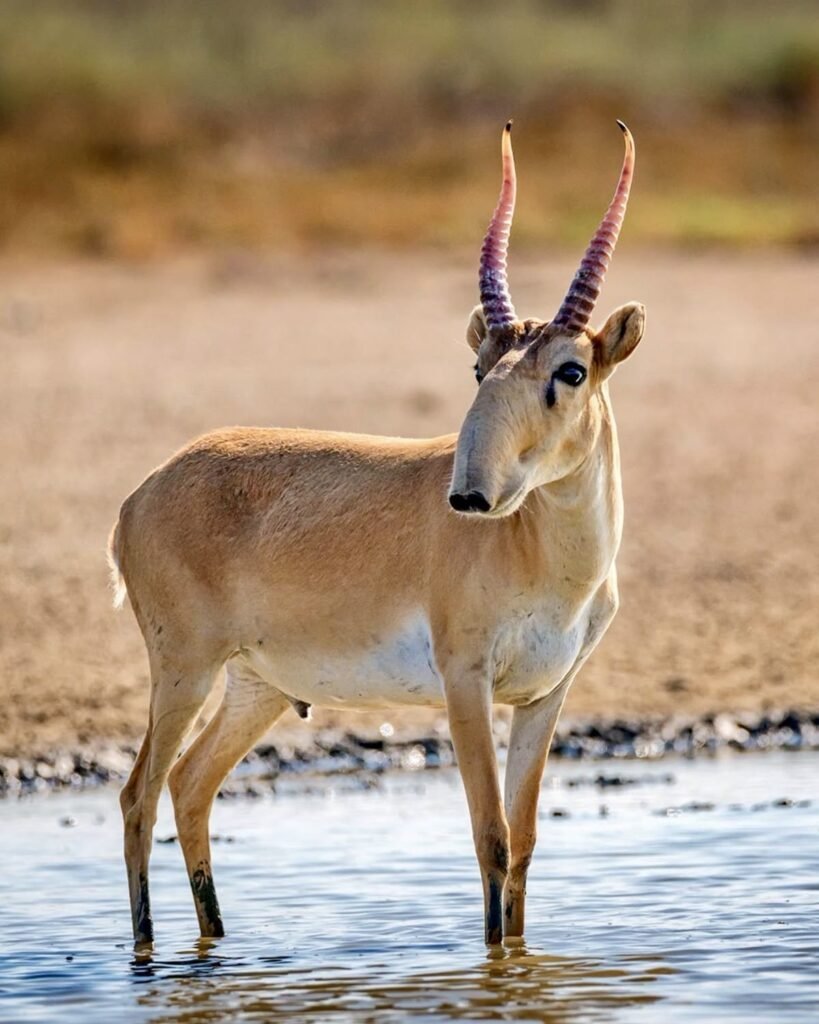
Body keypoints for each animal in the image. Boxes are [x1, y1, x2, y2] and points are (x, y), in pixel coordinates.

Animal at [110, 120, 645, 948]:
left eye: (571, 370)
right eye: (479, 366)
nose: (469, 493)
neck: (544, 558)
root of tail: (140, 496)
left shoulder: (544, 696)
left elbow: (523, 843)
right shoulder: (465, 683)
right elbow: (489, 838)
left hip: (256, 687)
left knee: (189, 785)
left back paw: (217, 940)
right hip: (183, 671)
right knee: (138, 795)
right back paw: (147, 952)